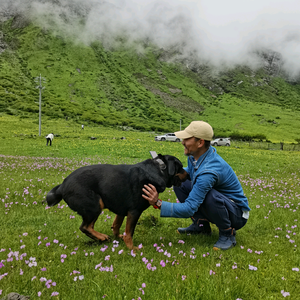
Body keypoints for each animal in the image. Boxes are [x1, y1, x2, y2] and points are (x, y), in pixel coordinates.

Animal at [44, 154, 186, 250]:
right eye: (180, 167)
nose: (189, 174)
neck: (160, 169)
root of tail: (62, 186)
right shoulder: (134, 211)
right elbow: (129, 232)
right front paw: (132, 248)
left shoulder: (122, 209)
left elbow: (116, 225)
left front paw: (119, 238)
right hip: (95, 205)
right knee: (85, 227)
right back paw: (102, 237)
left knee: (89, 226)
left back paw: (100, 238)